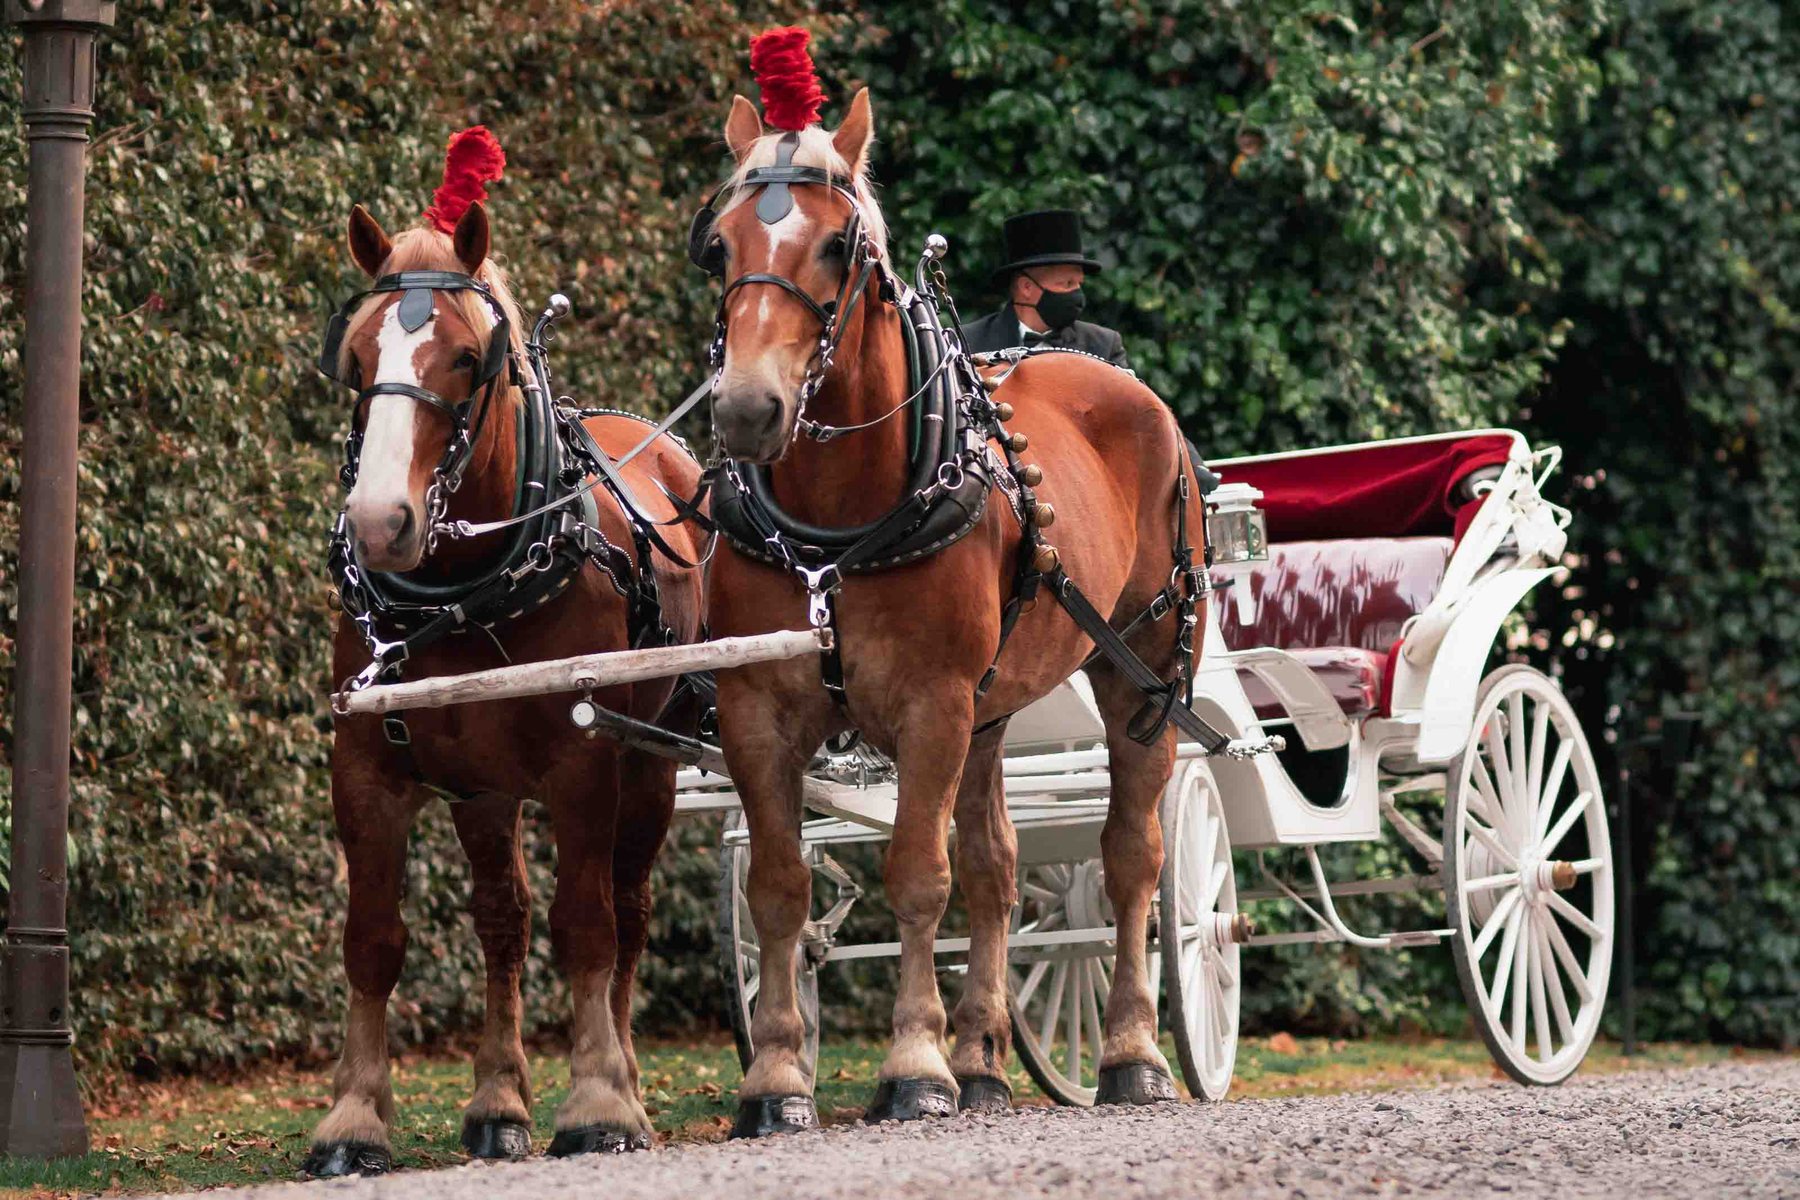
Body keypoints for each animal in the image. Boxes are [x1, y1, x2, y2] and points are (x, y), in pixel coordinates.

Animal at [305, 197, 704, 1174]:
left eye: (464, 356)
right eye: (357, 357)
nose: (379, 522)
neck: (464, 589)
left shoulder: (583, 766)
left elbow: (588, 925)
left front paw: (598, 1102)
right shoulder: (365, 768)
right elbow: (373, 941)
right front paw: (353, 1117)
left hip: (652, 764)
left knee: (627, 911)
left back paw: (625, 1079)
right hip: (483, 791)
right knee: (502, 921)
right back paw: (498, 1103)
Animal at [699, 84, 1209, 1134]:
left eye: (837, 246)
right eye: (720, 247)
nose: (746, 411)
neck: (834, 526)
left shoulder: (931, 706)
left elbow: (914, 875)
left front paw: (913, 1066)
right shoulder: (755, 712)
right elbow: (781, 888)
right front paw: (777, 1077)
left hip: (1140, 675)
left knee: (1130, 857)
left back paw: (1131, 1051)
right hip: (991, 710)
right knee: (996, 869)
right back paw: (982, 1060)